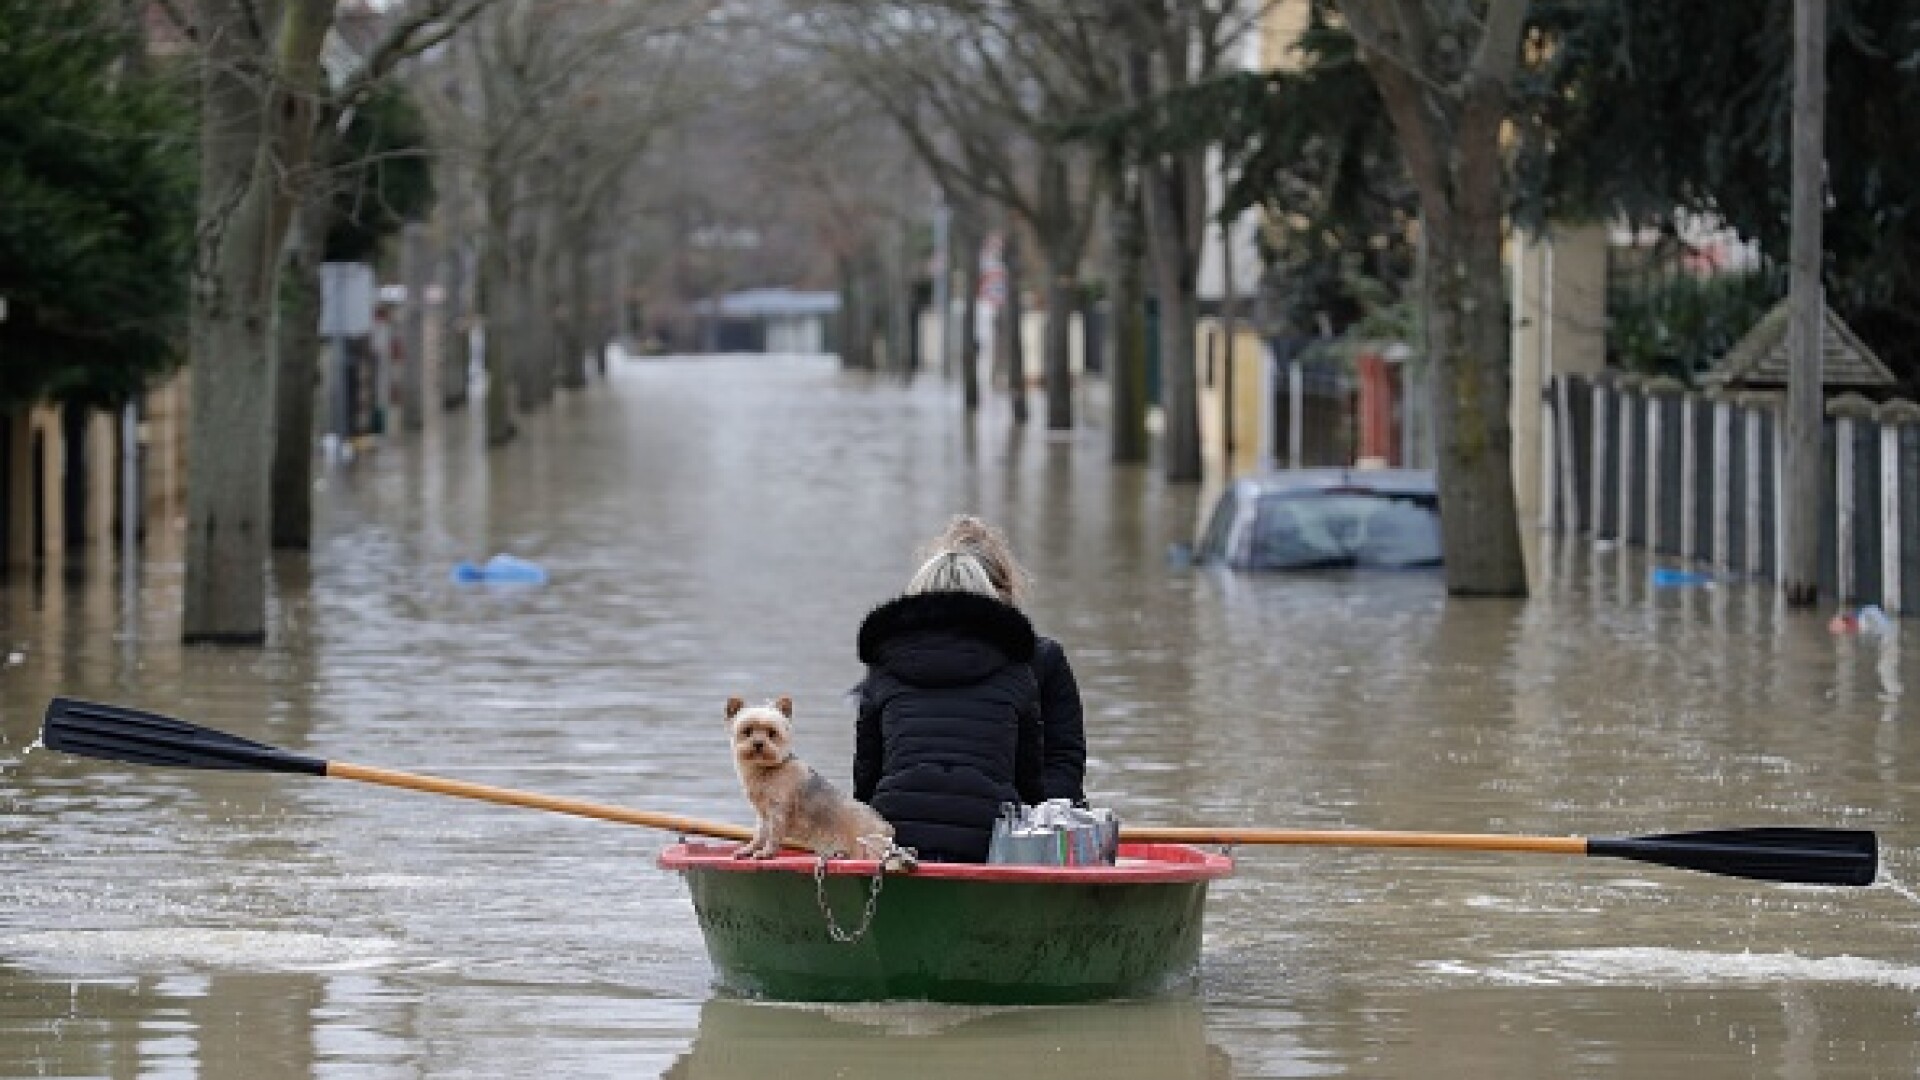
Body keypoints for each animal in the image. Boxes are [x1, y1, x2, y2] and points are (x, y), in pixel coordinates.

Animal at [725, 699, 898, 857]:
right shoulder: (763, 814)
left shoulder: (778, 811)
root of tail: (887, 829)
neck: (768, 770)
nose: (758, 743)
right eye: (747, 731)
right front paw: (749, 849)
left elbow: (774, 835)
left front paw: (766, 853)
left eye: (772, 733)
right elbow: (760, 834)